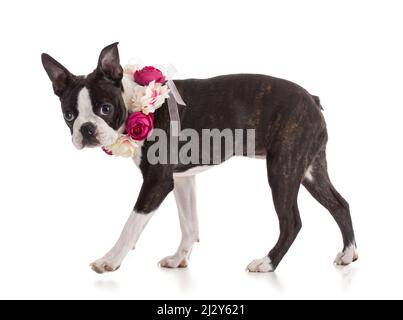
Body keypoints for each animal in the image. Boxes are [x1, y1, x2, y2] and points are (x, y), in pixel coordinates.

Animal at [41, 42, 358, 272]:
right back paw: (348, 254)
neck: (135, 102)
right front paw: (178, 259)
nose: (87, 129)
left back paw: (267, 263)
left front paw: (110, 260)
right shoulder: (182, 179)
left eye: (105, 109)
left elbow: (131, 224)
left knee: (292, 221)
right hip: (310, 169)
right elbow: (189, 224)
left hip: (282, 169)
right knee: (339, 204)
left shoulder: (157, 182)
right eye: (69, 115)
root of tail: (312, 99)